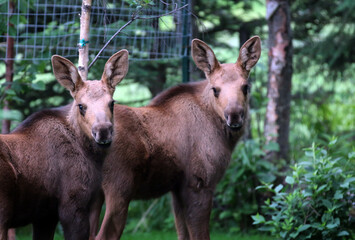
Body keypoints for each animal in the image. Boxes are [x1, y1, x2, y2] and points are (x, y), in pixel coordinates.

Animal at [0, 49, 128, 239]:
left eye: (112, 103)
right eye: (81, 106)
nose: (103, 131)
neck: (92, 158)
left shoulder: (45, 216)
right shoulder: (72, 204)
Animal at [92, 36, 262, 240]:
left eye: (245, 87)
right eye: (215, 89)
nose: (234, 116)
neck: (225, 137)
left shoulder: (177, 189)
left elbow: (183, 233)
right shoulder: (199, 183)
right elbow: (200, 235)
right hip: (119, 189)